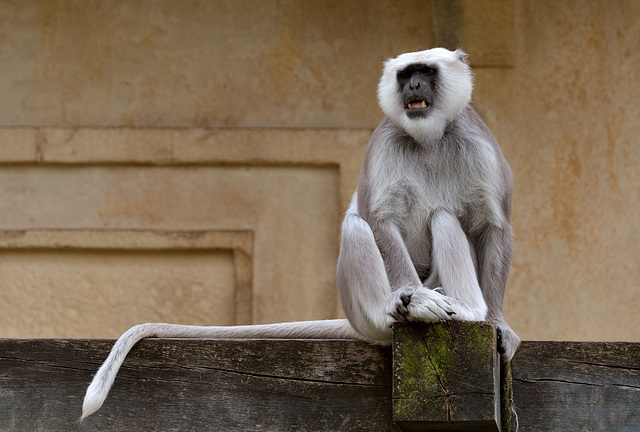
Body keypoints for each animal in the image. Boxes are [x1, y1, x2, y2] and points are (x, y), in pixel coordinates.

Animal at [80, 48, 520, 422]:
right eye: (405, 75)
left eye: (425, 73)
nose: (413, 87)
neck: (428, 138)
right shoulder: (385, 142)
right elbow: (377, 219)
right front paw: (408, 297)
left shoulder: (475, 140)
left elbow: (493, 225)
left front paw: (498, 324)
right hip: (363, 311)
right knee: (358, 226)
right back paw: (402, 308)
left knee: (443, 217)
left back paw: (470, 309)